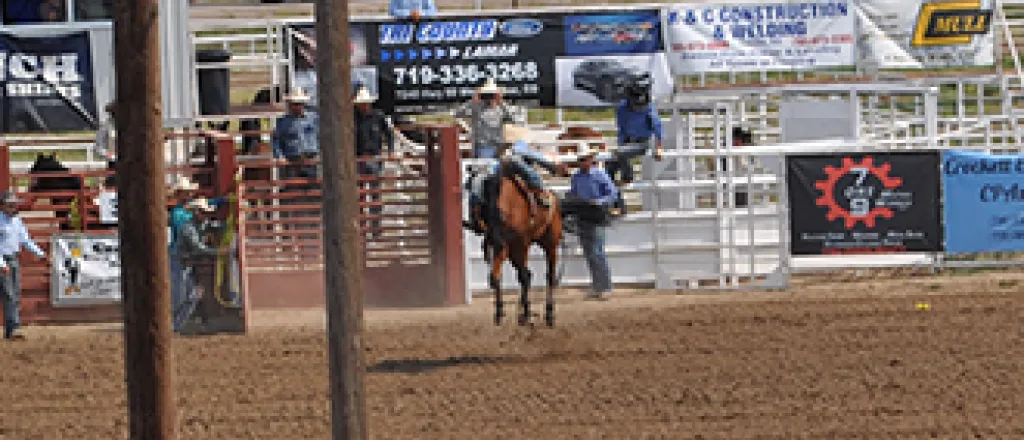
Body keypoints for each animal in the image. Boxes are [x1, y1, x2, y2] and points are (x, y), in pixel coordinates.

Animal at [483, 158, 565, 327]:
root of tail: (552, 195)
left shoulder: (521, 244)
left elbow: (523, 277)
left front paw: (526, 313)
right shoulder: (505, 247)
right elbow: (498, 278)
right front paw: (499, 313)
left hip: (550, 244)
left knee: (550, 275)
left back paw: (549, 313)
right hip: (515, 251)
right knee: (528, 274)